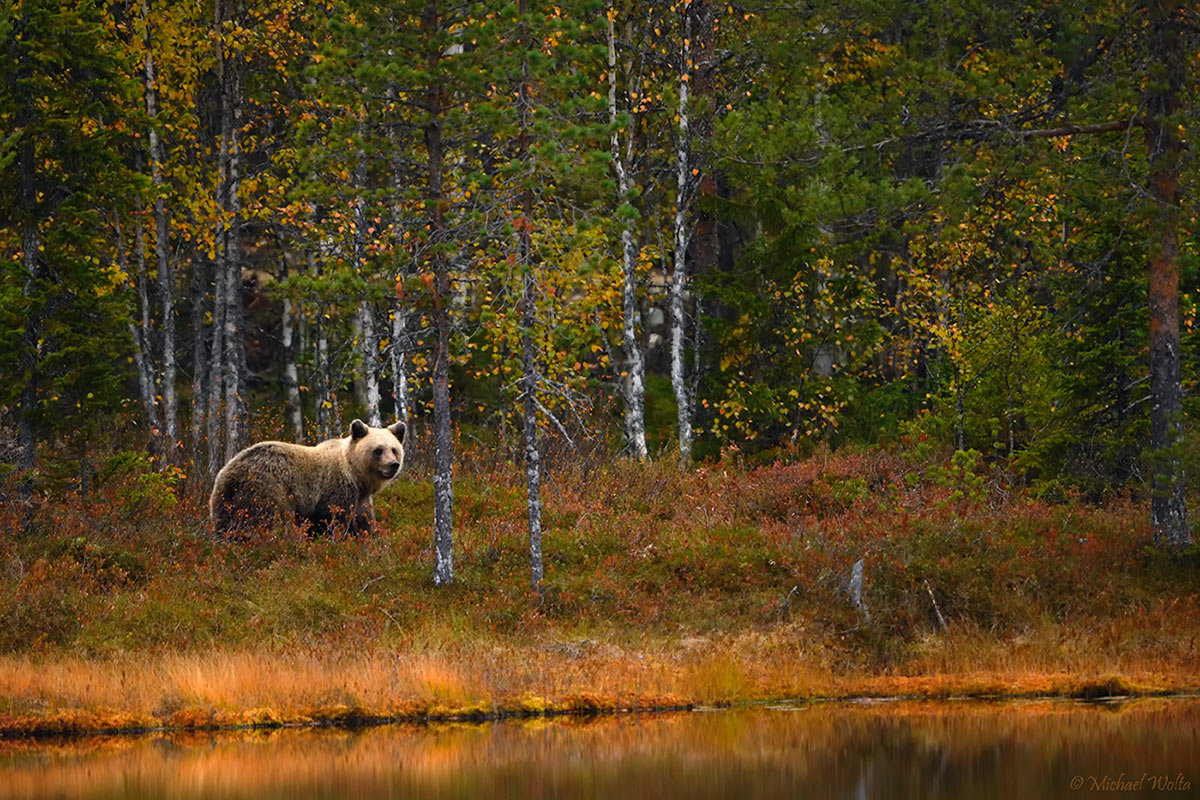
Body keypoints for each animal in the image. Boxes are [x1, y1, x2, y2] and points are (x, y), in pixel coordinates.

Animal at [211, 419, 408, 537]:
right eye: (378, 450)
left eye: (394, 449)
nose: (393, 464)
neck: (356, 476)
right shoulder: (336, 490)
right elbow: (332, 521)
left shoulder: (360, 500)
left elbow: (363, 524)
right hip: (267, 489)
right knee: (269, 520)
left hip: (225, 500)